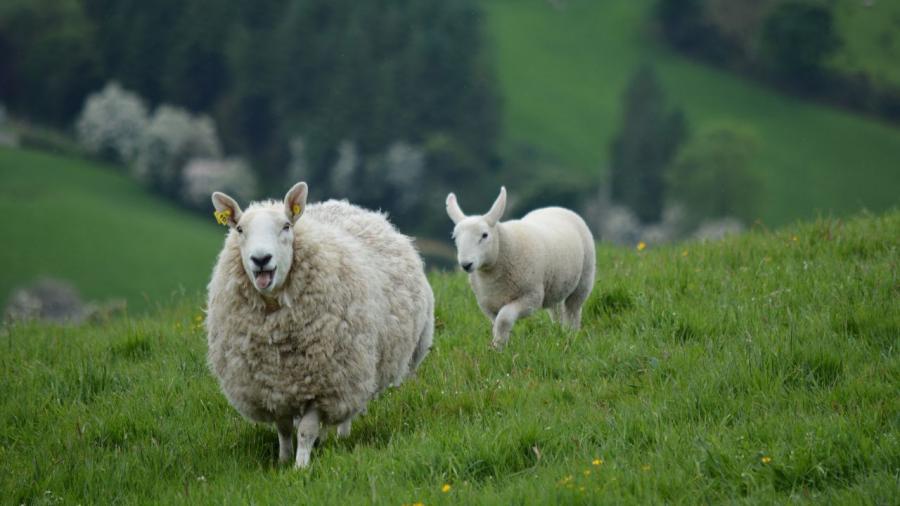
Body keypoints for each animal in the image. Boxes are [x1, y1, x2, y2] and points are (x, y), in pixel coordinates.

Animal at [204, 181, 432, 466]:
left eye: (286, 226)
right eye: (240, 229)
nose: (261, 259)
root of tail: (346, 206)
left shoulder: (324, 383)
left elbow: (306, 430)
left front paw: (301, 466)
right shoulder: (271, 386)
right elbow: (284, 428)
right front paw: (283, 460)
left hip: (355, 369)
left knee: (349, 407)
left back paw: (341, 437)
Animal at [444, 188, 596, 350]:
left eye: (484, 235)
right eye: (455, 238)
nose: (466, 264)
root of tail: (555, 207)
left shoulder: (531, 297)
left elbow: (504, 318)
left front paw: (498, 347)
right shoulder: (489, 305)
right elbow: (497, 324)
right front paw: (499, 345)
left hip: (584, 278)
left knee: (573, 309)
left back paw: (571, 333)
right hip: (555, 285)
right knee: (556, 309)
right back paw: (559, 331)